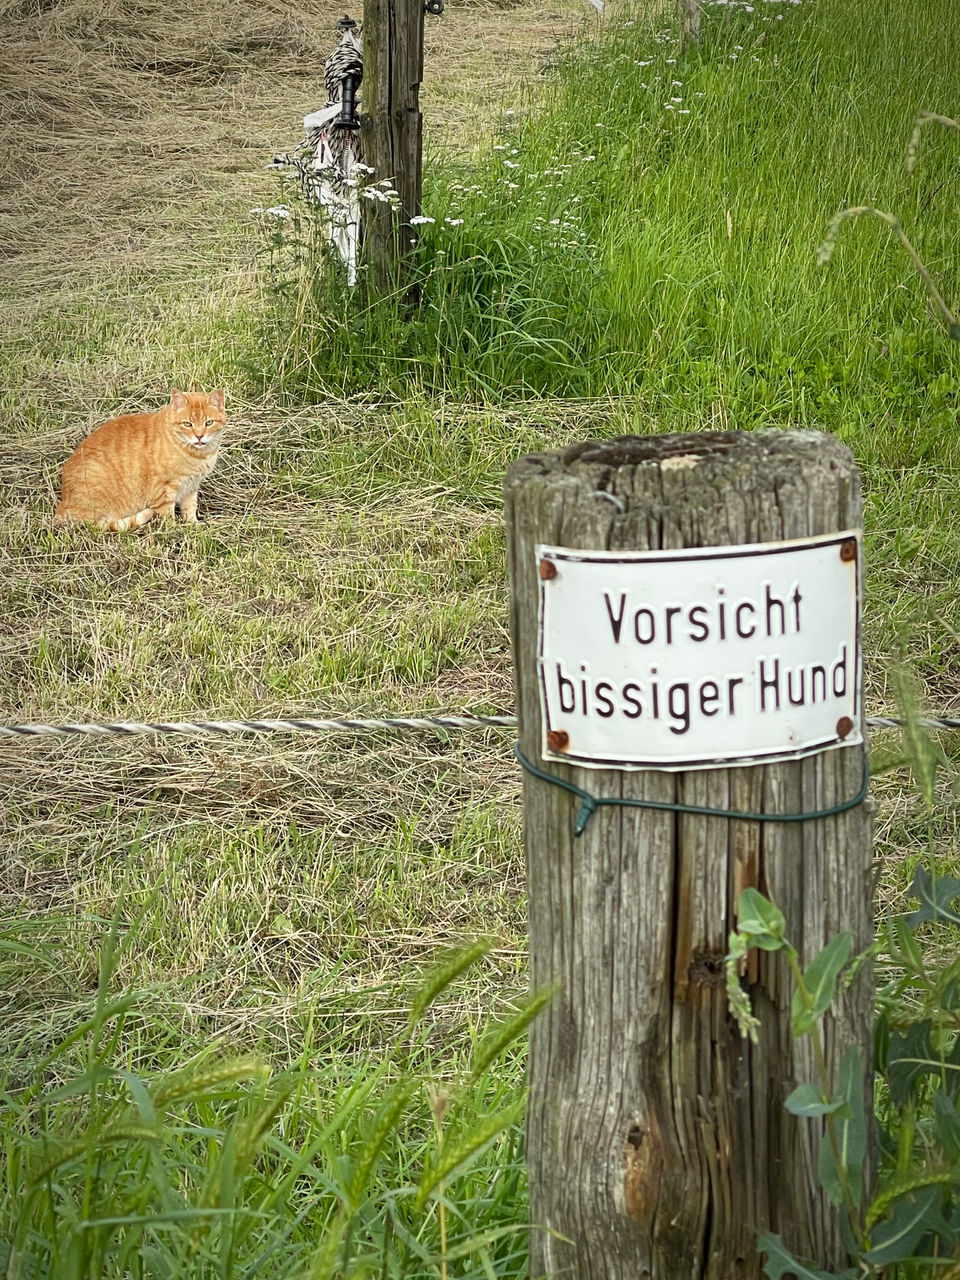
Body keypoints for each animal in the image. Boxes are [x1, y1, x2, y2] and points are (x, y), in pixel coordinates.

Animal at [56, 389, 227, 529]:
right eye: (187, 424)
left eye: (208, 423)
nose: (199, 436)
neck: (198, 455)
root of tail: (62, 507)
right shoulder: (164, 492)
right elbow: (168, 519)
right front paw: (176, 532)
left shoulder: (191, 487)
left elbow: (190, 509)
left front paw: (193, 526)